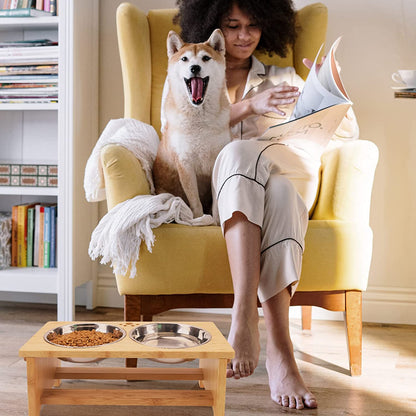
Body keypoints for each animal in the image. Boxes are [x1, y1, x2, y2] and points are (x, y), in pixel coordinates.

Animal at [153, 28, 231, 218]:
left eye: (206, 58)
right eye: (184, 59)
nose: (195, 68)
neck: (199, 120)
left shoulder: (216, 160)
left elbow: (216, 201)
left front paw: (216, 220)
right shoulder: (185, 163)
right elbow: (195, 201)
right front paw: (199, 219)